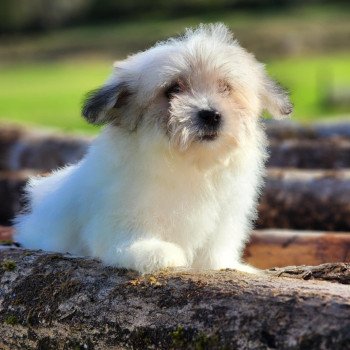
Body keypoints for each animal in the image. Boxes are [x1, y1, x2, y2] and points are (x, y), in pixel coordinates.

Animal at [14, 23, 292, 274]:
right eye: (173, 89)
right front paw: (153, 252)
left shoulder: (225, 215)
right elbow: (127, 238)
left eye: (225, 87)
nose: (211, 115)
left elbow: (214, 251)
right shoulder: (123, 210)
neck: (189, 162)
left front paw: (225, 266)